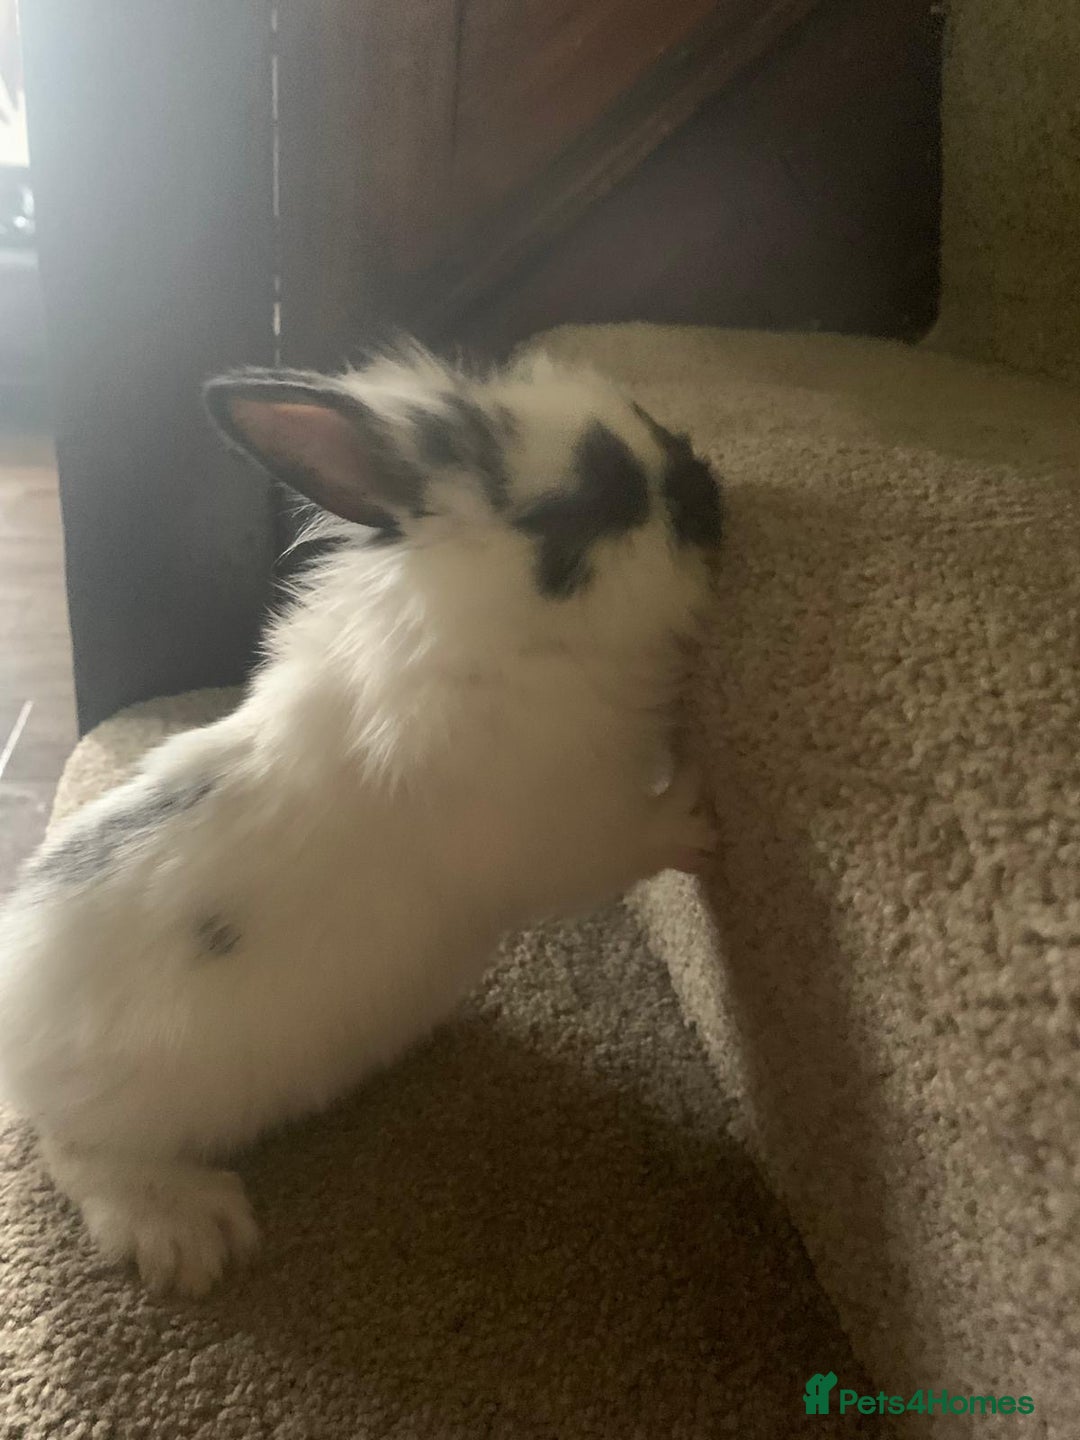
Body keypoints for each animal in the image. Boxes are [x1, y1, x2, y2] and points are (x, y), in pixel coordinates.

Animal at [0, 343, 723, 1297]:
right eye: (588, 500)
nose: (711, 487)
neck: (506, 633)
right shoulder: (566, 836)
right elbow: (637, 840)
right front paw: (701, 811)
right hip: (122, 1119)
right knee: (81, 1156)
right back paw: (193, 1233)